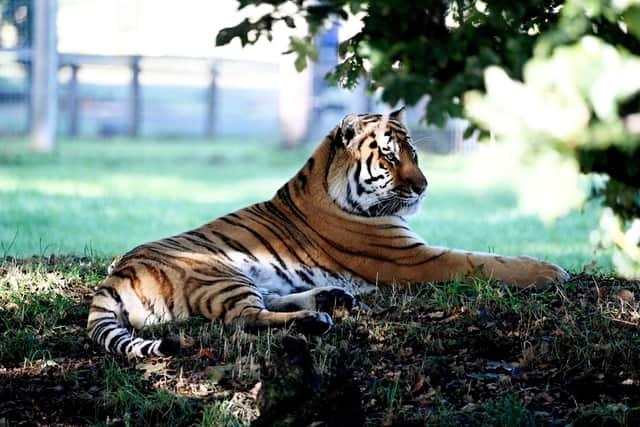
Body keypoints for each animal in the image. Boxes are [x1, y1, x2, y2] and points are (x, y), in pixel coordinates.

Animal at [87, 108, 569, 357]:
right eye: (390, 157)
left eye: (414, 154)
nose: (423, 187)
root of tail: (115, 275)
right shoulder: (414, 258)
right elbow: (482, 261)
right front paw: (550, 272)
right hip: (218, 272)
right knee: (244, 319)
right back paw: (316, 318)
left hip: (244, 277)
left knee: (265, 302)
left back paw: (332, 298)